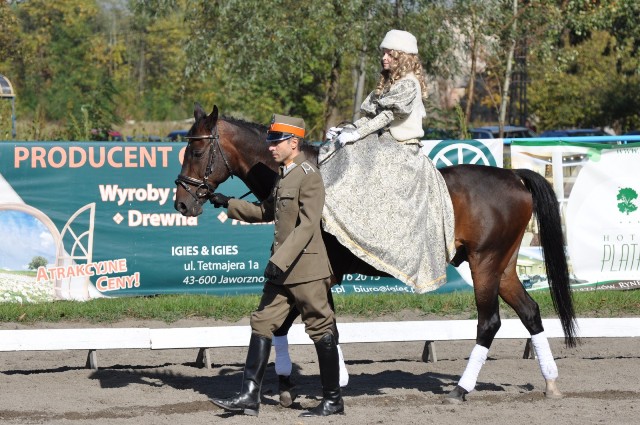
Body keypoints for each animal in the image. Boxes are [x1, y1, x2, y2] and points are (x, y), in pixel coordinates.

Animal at [174, 103, 577, 402]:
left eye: (196, 150)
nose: (181, 203)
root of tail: (514, 176)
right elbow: (287, 326)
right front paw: (290, 385)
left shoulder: (320, 274)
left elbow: (317, 326)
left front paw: (332, 381)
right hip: (503, 266)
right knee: (530, 312)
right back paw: (551, 383)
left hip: (485, 264)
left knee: (489, 322)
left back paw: (462, 389)